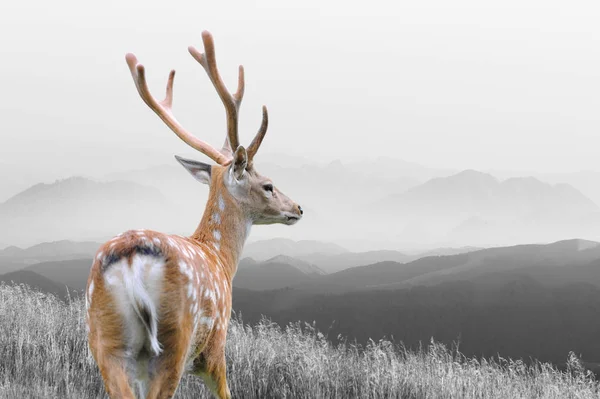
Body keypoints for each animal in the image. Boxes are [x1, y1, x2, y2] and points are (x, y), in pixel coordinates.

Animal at [86, 32, 302, 399]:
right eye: (269, 185)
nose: (298, 208)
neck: (220, 259)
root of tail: (130, 260)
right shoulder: (215, 347)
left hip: (105, 340)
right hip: (175, 339)